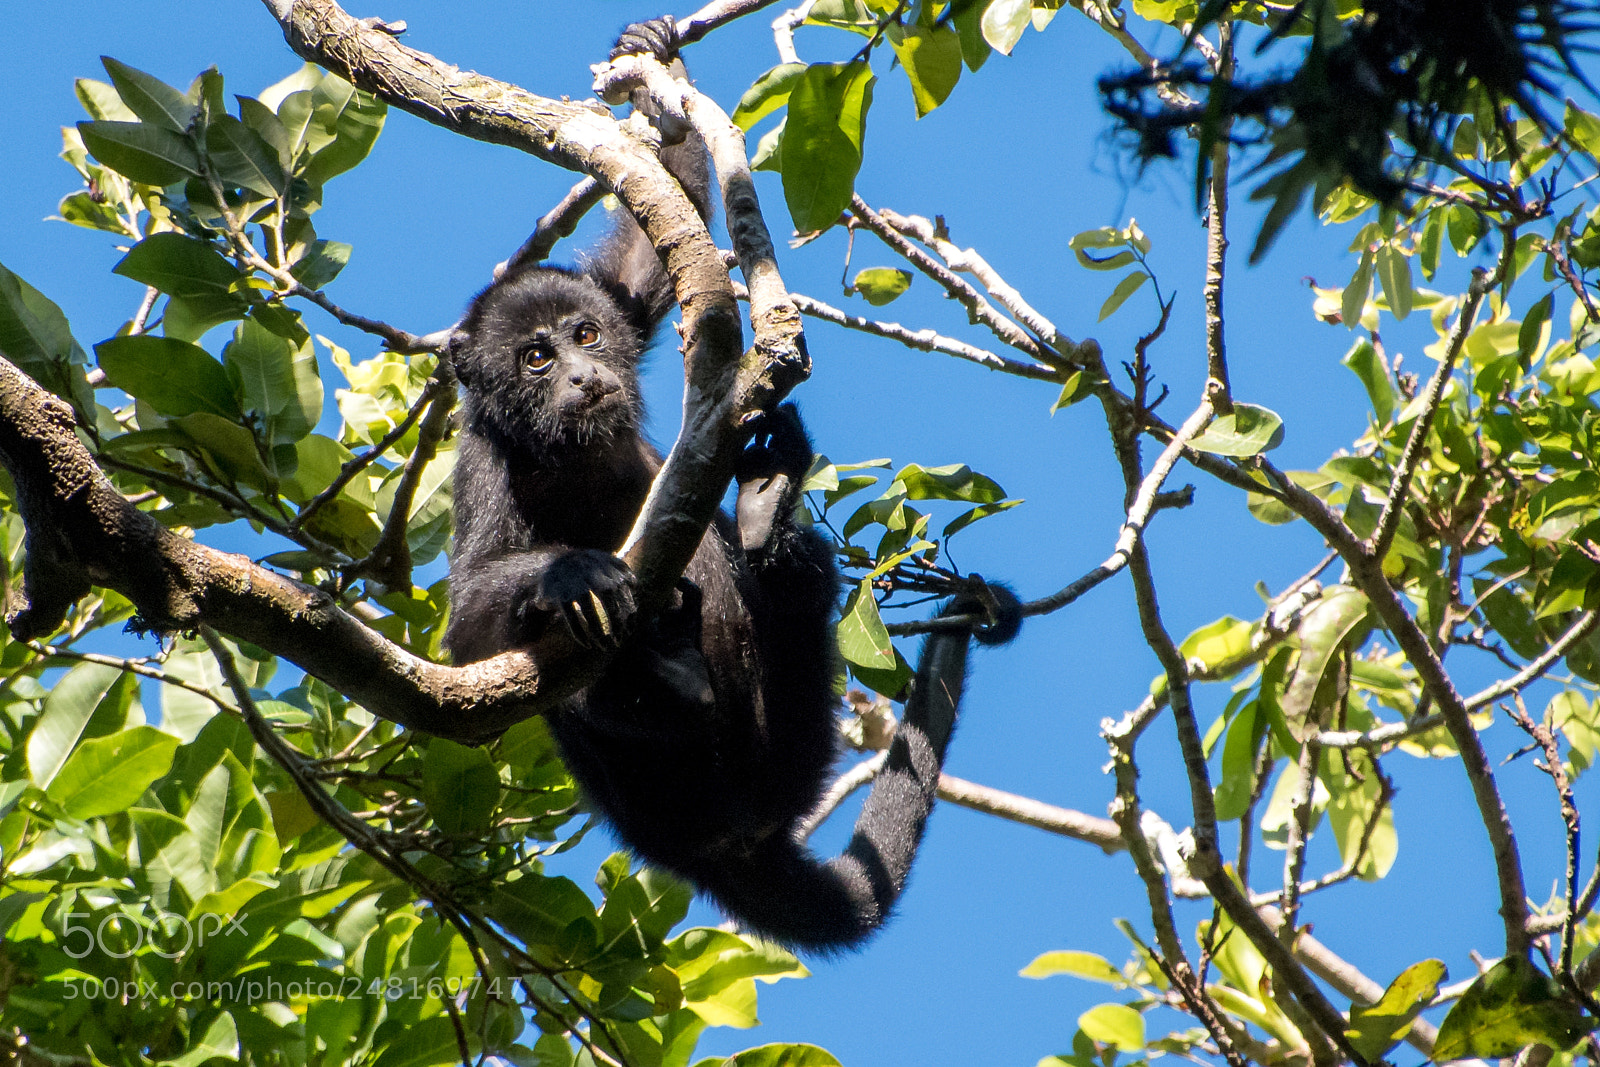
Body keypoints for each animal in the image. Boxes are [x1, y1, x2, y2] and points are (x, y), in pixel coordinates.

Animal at [444, 19, 1022, 952]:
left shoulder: (625, 301)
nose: (582, 377)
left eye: (586, 334)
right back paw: (663, 665)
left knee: (794, 569)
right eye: (535, 358)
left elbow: (655, 252)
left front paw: (657, 72)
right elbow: (467, 628)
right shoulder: (483, 456)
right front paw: (572, 573)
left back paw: (762, 522)